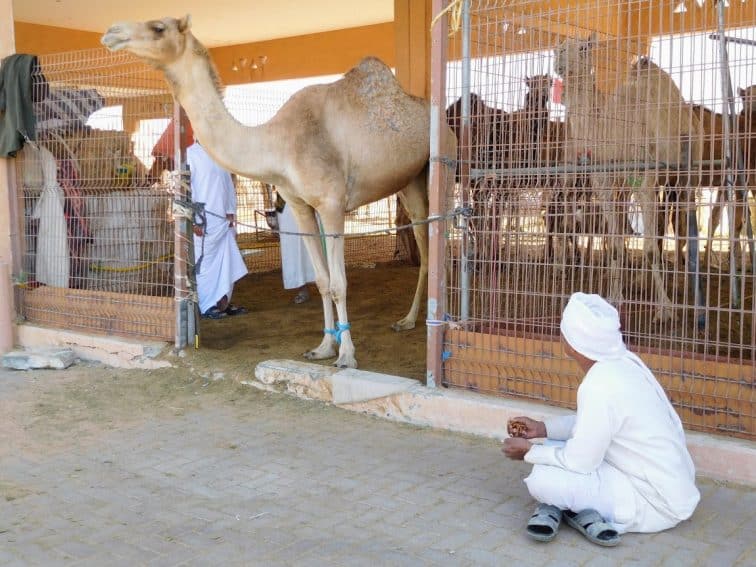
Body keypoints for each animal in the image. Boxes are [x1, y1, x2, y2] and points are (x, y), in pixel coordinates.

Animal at [101, 15, 456, 368]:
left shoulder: (332, 204)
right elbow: (323, 281)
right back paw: (407, 320)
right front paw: (324, 347)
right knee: (426, 247)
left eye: (158, 27)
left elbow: (339, 283)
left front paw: (346, 355)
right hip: (409, 183)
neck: (278, 145)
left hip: (445, 166)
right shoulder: (301, 206)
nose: (111, 32)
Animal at [554, 35, 702, 322]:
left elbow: (648, 247)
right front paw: (615, 298)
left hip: (684, 170)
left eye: (584, 48)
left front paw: (665, 309)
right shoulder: (605, 182)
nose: (560, 62)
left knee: (678, 226)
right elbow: (615, 243)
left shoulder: (643, 175)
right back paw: (643, 284)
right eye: (558, 49)